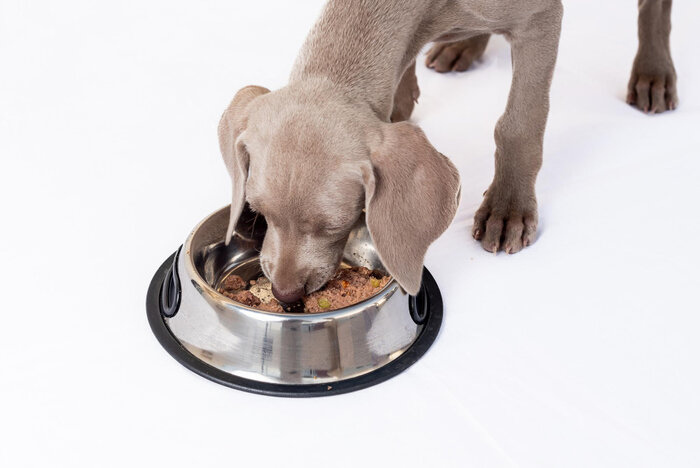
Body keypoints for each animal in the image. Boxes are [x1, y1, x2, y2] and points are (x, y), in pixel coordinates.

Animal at [219, 0, 680, 304]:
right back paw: (464, 46)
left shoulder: (540, 18)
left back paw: (654, 70)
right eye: (258, 212)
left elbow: (519, 122)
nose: (285, 293)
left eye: (335, 224)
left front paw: (508, 208)